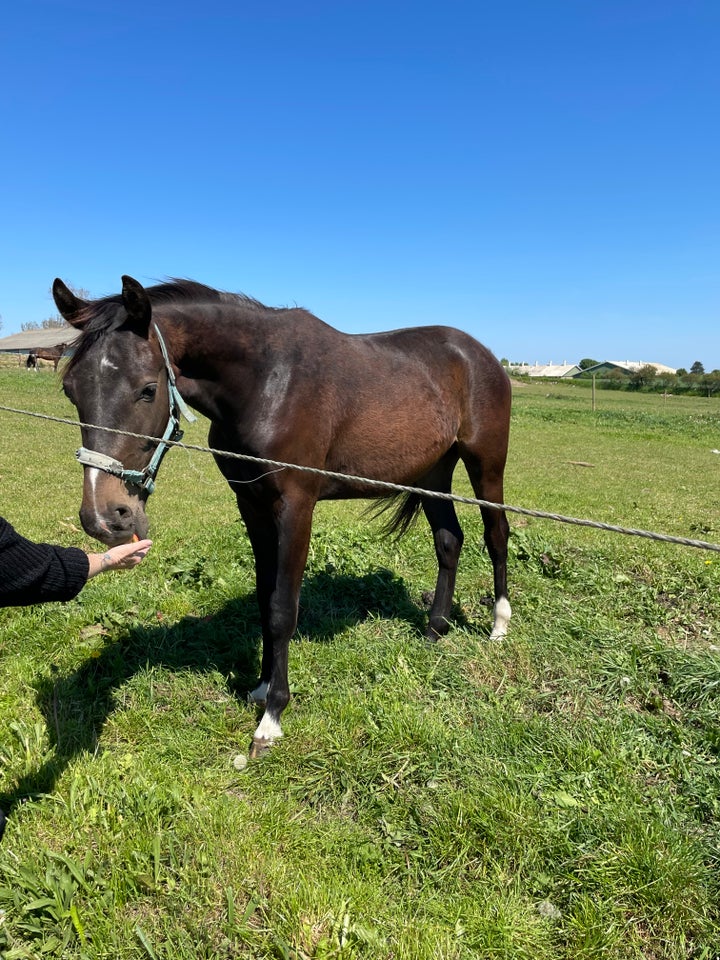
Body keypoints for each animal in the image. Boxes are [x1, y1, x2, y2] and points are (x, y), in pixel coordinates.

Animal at [53, 276, 512, 756]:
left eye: (147, 389)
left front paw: (271, 716)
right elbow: (263, 596)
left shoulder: (296, 507)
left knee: (496, 535)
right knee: (449, 540)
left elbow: (281, 608)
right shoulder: (251, 505)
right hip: (433, 472)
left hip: (486, 465)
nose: (105, 517)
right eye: (72, 390)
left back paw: (499, 624)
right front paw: (260, 685)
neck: (267, 383)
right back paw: (435, 630)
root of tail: (479, 354)